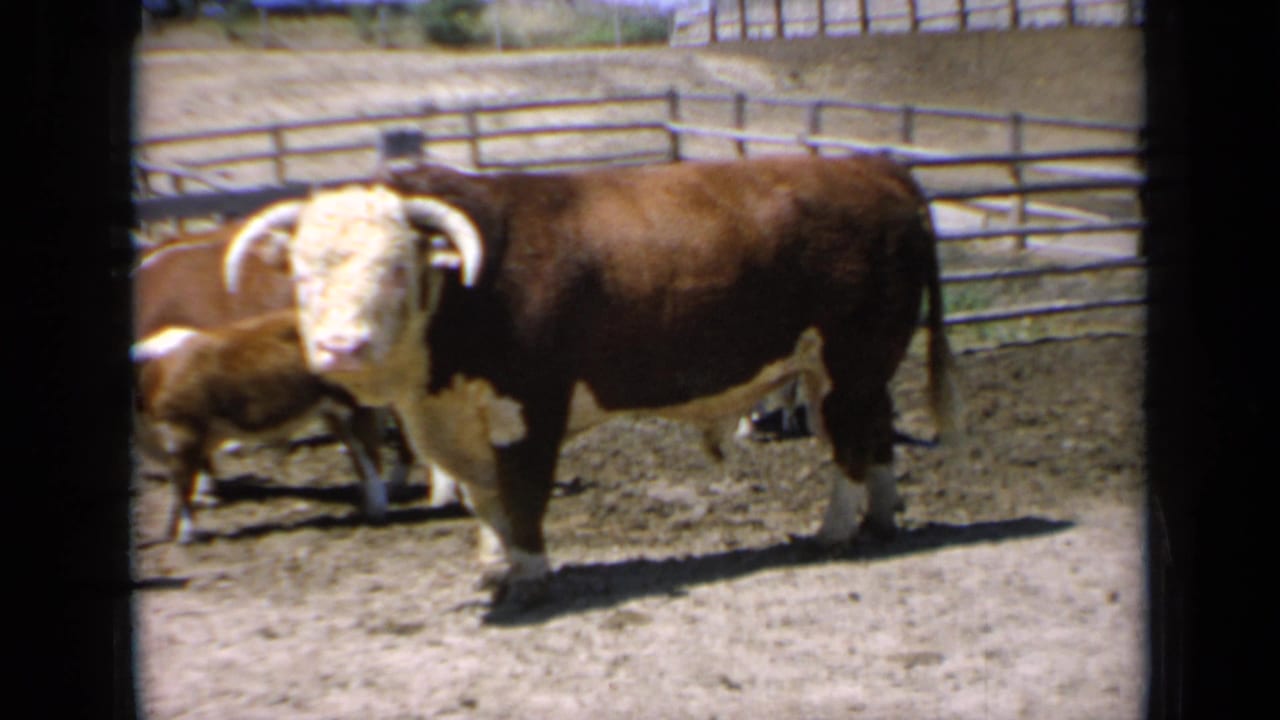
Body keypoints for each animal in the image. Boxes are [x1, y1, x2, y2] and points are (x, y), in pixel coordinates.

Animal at [223, 154, 962, 607]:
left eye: (397, 267)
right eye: (300, 273)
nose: (339, 347)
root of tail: (869, 165)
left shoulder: (530, 409)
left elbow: (521, 495)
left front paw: (529, 575)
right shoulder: (459, 420)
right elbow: (484, 498)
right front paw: (495, 566)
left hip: (850, 361)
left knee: (849, 445)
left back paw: (835, 531)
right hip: (850, 365)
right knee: (875, 434)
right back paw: (882, 519)